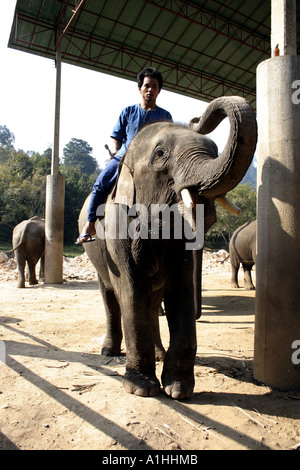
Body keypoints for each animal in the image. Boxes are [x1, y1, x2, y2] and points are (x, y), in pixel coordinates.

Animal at [78, 96, 256, 400]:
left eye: (214, 150)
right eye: (160, 153)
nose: (196, 118)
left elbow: (180, 289)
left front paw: (178, 390)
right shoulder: (117, 226)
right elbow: (130, 290)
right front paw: (141, 389)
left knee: (152, 301)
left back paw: (159, 354)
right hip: (96, 254)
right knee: (111, 296)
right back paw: (109, 351)